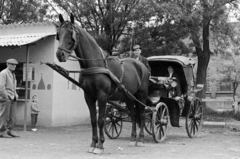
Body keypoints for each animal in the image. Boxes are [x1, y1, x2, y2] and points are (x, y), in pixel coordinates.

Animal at [56, 13, 149, 154]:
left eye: (70, 33)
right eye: (59, 34)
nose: (59, 54)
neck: (94, 64)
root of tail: (141, 66)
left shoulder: (102, 96)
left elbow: (101, 120)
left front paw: (100, 146)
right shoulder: (88, 96)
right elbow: (93, 120)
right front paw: (93, 144)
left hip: (141, 95)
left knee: (142, 115)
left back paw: (142, 139)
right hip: (128, 97)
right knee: (133, 115)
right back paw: (133, 139)